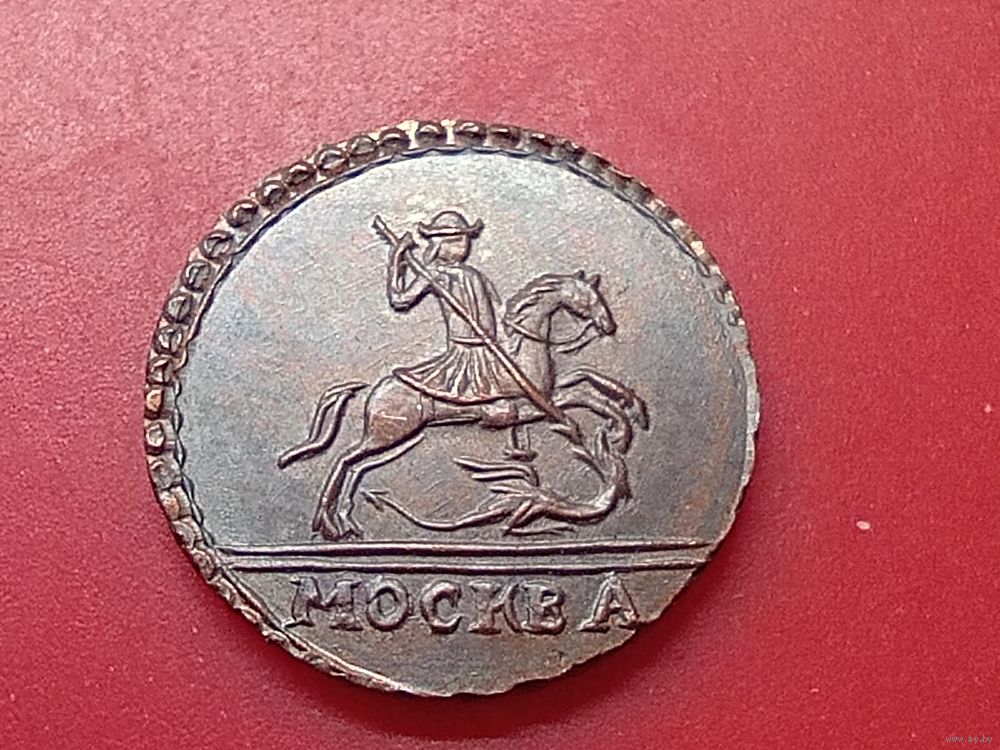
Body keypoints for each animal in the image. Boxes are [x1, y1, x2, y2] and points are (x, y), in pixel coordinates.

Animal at [278, 270, 649, 540]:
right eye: (588, 297)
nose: (609, 326)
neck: (523, 354)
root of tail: (375, 386)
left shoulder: (547, 394)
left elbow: (585, 377)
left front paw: (629, 407)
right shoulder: (533, 406)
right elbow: (583, 397)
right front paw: (620, 428)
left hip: (398, 438)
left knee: (357, 467)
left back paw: (345, 522)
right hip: (387, 434)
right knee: (343, 460)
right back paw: (328, 523)